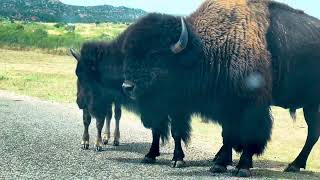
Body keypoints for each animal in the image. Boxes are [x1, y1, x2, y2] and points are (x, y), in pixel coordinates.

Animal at [121, 0, 320, 177]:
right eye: (129, 55)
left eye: (155, 56)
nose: (127, 86)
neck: (205, 50)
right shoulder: (225, 106)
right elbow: (227, 134)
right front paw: (219, 165)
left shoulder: (251, 105)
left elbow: (250, 133)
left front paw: (242, 168)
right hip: (310, 106)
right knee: (313, 132)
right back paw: (295, 165)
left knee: (312, 133)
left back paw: (293, 165)